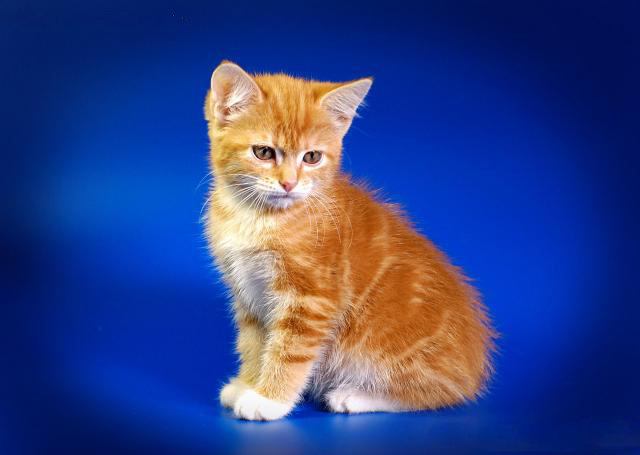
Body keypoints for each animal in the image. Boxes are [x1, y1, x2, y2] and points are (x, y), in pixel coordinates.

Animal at [204, 62, 496, 422]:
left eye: (312, 157)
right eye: (263, 152)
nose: (289, 183)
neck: (260, 216)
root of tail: (474, 366)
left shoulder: (312, 299)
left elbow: (289, 350)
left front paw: (268, 399)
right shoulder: (247, 293)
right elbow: (254, 343)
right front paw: (247, 384)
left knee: (440, 391)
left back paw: (353, 397)